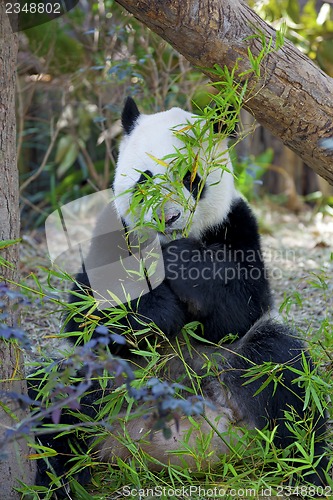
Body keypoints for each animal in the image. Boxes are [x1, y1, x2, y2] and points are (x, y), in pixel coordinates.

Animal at [30, 96, 326, 492]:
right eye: (144, 179)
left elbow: (242, 306)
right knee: (55, 399)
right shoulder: (111, 231)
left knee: (283, 372)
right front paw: (157, 309)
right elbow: (85, 314)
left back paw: (308, 467)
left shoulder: (236, 224)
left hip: (237, 367)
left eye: (191, 179)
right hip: (109, 382)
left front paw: (183, 264)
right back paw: (60, 479)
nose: (167, 218)